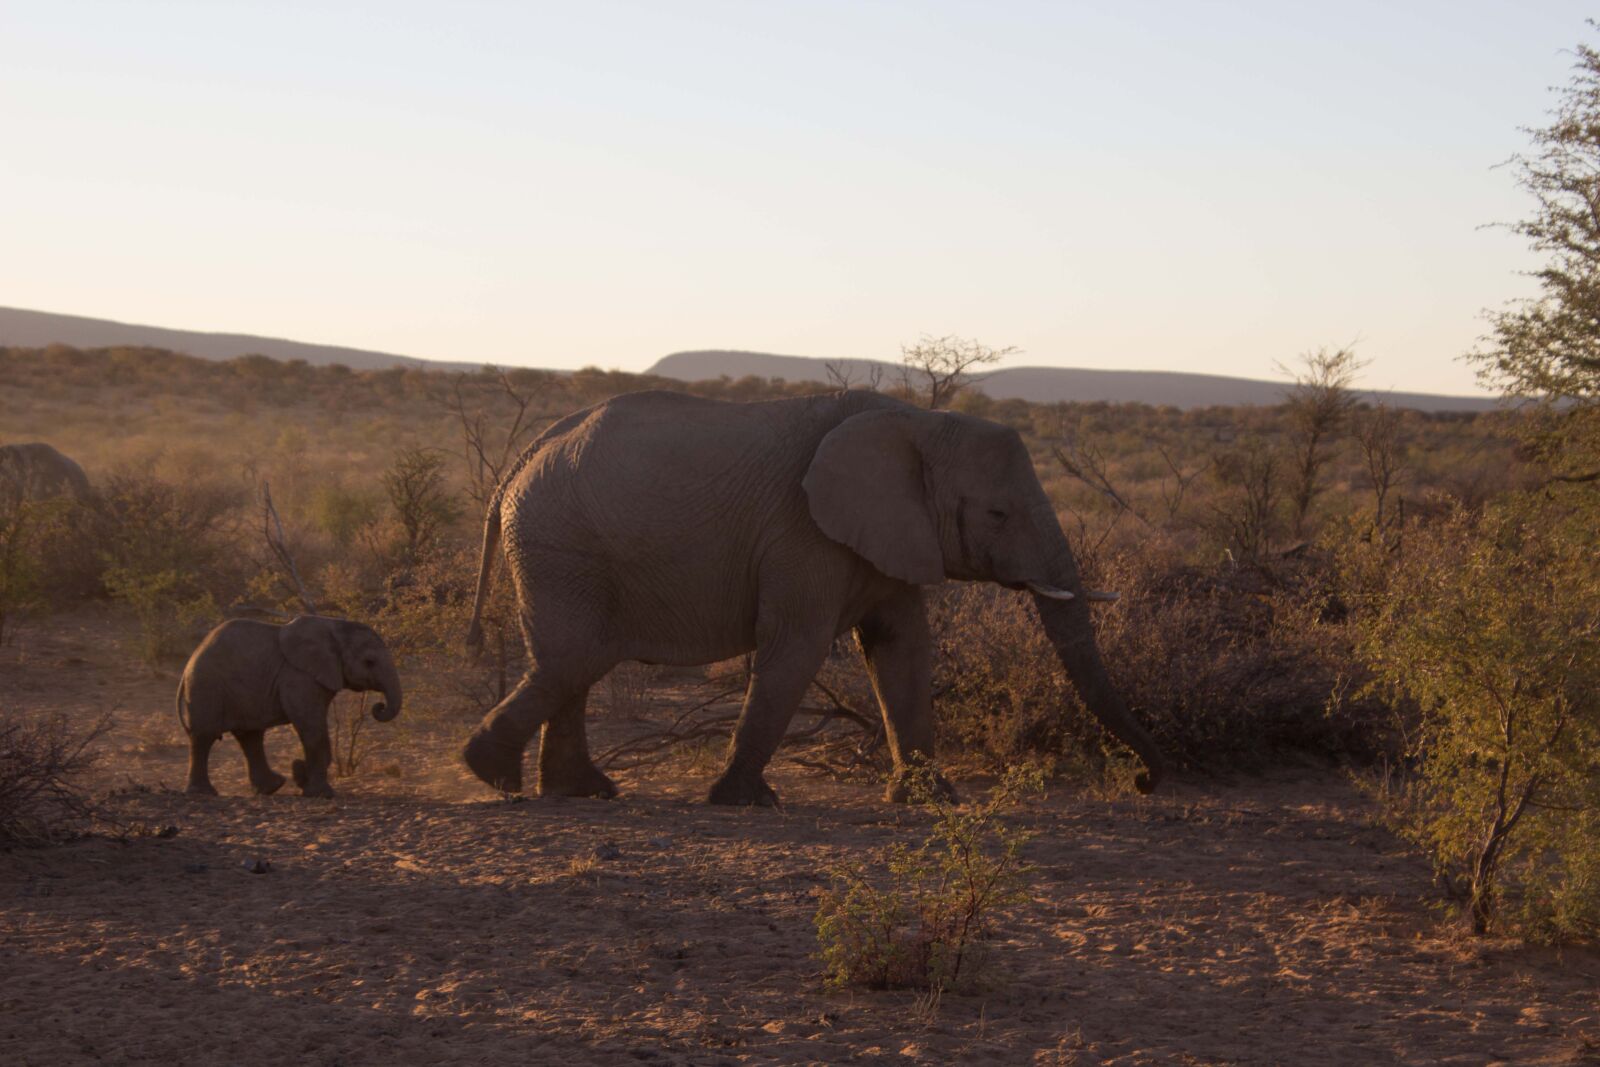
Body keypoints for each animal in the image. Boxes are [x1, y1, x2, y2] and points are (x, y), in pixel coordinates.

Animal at [178, 615, 403, 798]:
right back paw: (203, 793)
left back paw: (271, 787)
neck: (334, 626)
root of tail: (188, 664)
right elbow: (310, 726)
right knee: (205, 736)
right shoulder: (298, 675)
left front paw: (302, 778)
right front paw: (320, 793)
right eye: (369, 662)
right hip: (205, 687)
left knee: (250, 736)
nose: (379, 706)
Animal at [460, 389, 1165, 806]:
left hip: (557, 546)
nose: (1145, 780)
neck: (918, 423)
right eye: (997, 513)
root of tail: (518, 464)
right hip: (559, 543)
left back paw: (576, 792)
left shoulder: (889, 534)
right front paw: (744, 801)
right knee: (576, 656)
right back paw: (493, 774)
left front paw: (931, 800)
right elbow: (795, 649)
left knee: (572, 660)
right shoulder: (802, 534)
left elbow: (903, 651)